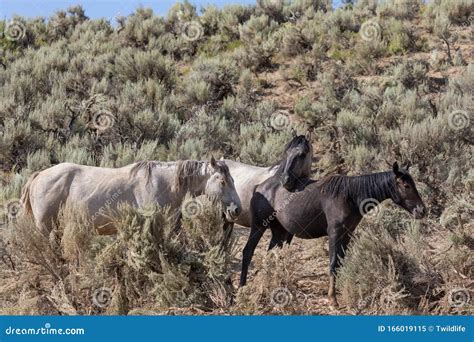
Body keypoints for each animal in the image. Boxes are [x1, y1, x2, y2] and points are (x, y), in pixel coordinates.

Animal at [241, 163, 426, 308]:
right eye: (406, 185)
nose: (422, 210)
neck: (351, 196)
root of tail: (259, 187)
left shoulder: (347, 234)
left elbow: (340, 263)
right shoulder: (334, 234)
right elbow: (332, 264)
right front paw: (332, 299)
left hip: (279, 232)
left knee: (270, 256)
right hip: (259, 227)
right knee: (248, 252)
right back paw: (242, 287)